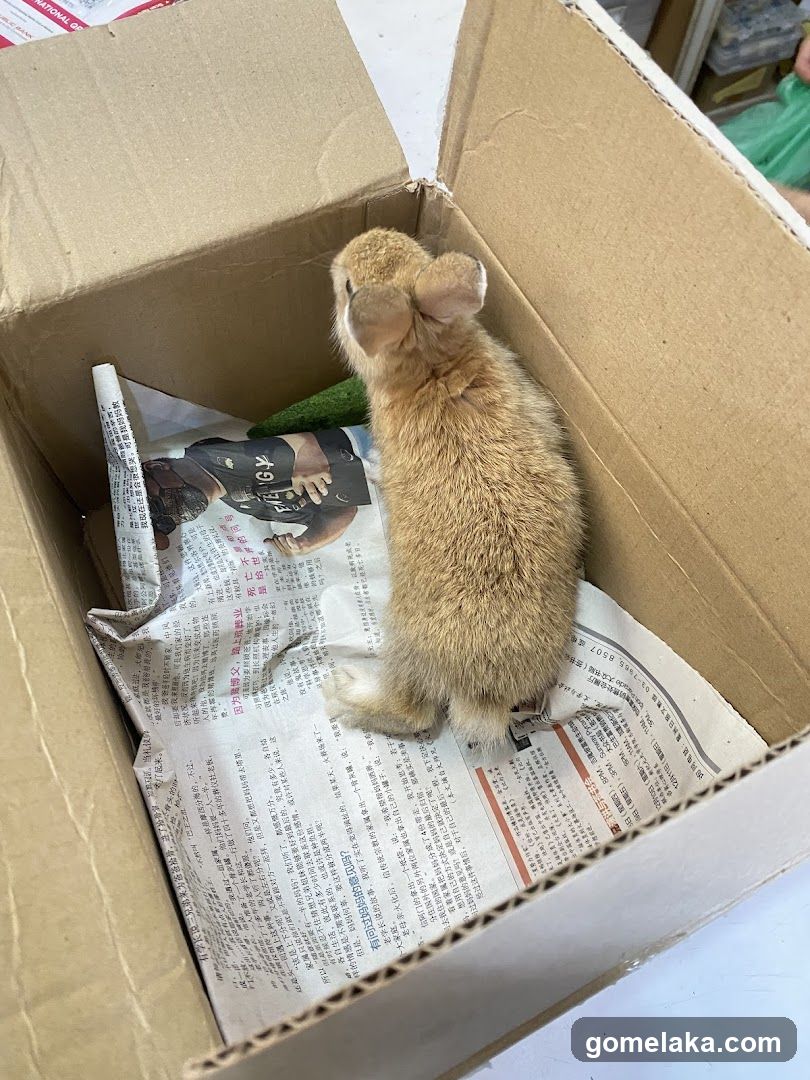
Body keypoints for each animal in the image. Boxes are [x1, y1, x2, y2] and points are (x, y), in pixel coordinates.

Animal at [322, 227, 584, 750]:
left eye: (347, 287)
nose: (349, 247)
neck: (430, 361)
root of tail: (483, 694)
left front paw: (371, 467)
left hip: (404, 645)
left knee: (411, 712)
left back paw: (342, 691)